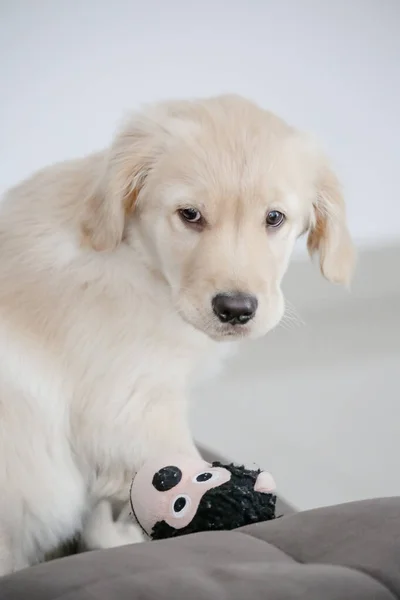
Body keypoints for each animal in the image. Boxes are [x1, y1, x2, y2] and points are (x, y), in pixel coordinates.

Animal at [0, 96, 354, 576]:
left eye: (274, 218)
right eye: (190, 215)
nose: (235, 310)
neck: (139, 261)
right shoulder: (133, 406)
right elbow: (174, 461)